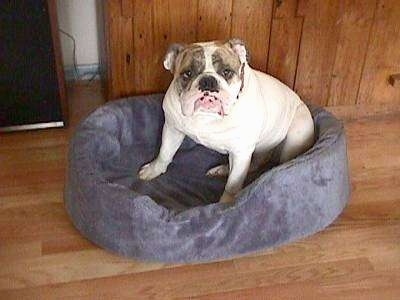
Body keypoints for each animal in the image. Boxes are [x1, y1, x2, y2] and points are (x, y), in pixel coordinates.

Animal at [139, 39, 314, 204]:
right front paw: (153, 170)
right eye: (187, 73)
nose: (208, 81)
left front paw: (226, 203)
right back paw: (222, 169)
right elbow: (165, 152)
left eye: (226, 71)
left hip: (296, 132)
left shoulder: (241, 152)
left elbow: (233, 184)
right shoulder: (172, 129)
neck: (207, 116)